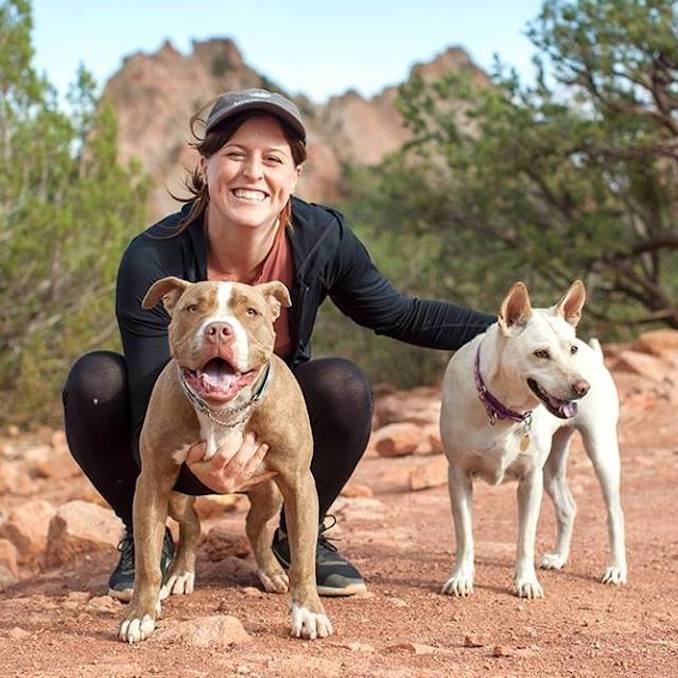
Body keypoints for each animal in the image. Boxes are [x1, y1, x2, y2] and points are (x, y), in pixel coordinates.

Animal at [120, 276, 338, 644]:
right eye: (193, 308)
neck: (222, 412)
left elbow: (303, 559)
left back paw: (272, 572)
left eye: (251, 312)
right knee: (192, 525)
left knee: (255, 528)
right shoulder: (152, 481)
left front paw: (308, 613)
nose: (219, 329)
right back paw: (180, 573)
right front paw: (140, 615)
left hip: (271, 492)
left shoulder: (299, 482)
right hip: (176, 493)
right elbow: (147, 562)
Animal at [440, 282, 628, 600]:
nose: (583, 388)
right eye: (540, 353)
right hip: (551, 470)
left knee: (614, 513)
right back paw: (559, 557)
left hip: (601, 453)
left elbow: (525, 539)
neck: (503, 408)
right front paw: (461, 578)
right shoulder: (459, 476)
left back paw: (615, 568)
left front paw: (525, 582)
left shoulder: (530, 480)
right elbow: (464, 534)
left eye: (572, 349)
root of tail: (595, 355)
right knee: (567, 507)